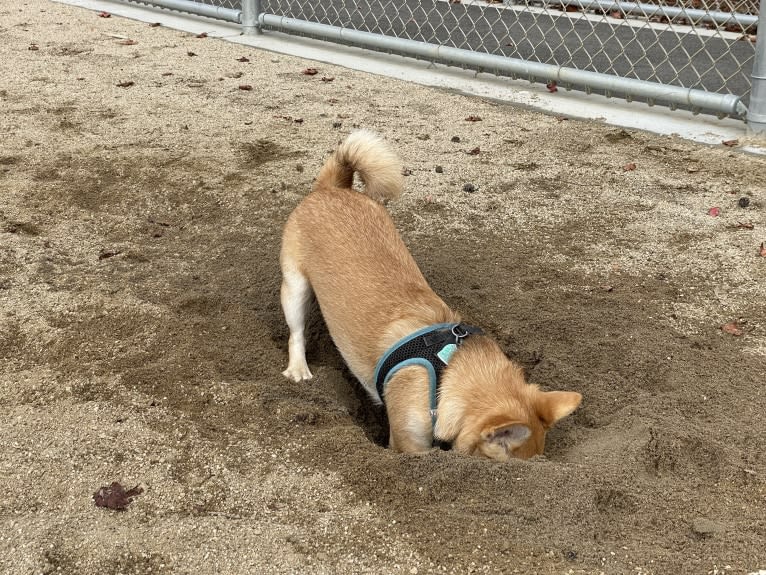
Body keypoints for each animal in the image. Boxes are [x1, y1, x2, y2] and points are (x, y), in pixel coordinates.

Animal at [282, 128, 584, 462]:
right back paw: (299, 370)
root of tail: (331, 188)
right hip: (295, 288)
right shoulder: (408, 443)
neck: (447, 373)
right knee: (296, 333)